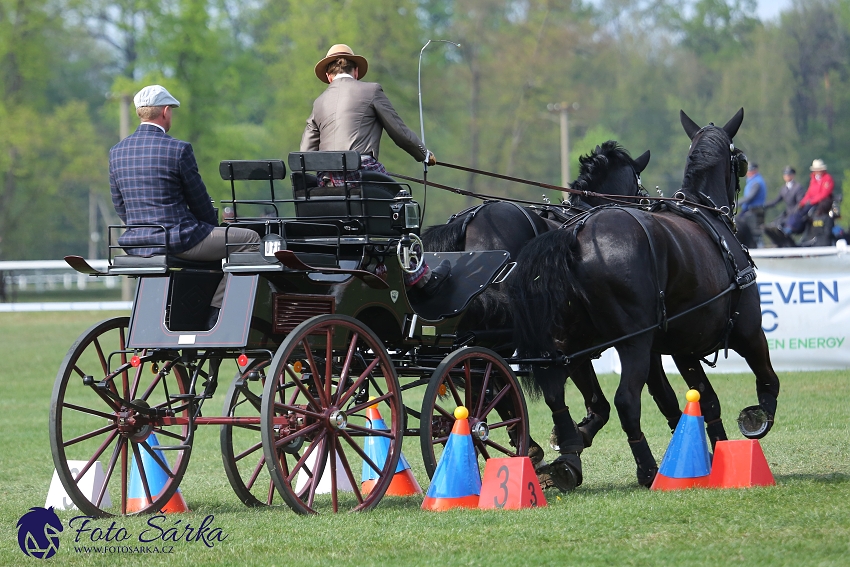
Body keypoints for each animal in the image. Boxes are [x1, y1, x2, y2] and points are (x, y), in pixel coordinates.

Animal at [506, 110, 780, 488]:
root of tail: (575, 235)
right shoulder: (748, 331)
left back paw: (568, 450)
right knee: (625, 401)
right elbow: (767, 380)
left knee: (554, 389)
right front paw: (757, 417)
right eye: (740, 163)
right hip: (633, 343)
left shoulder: (681, 348)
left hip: (569, 340)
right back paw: (646, 469)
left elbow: (701, 400)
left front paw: (713, 456)